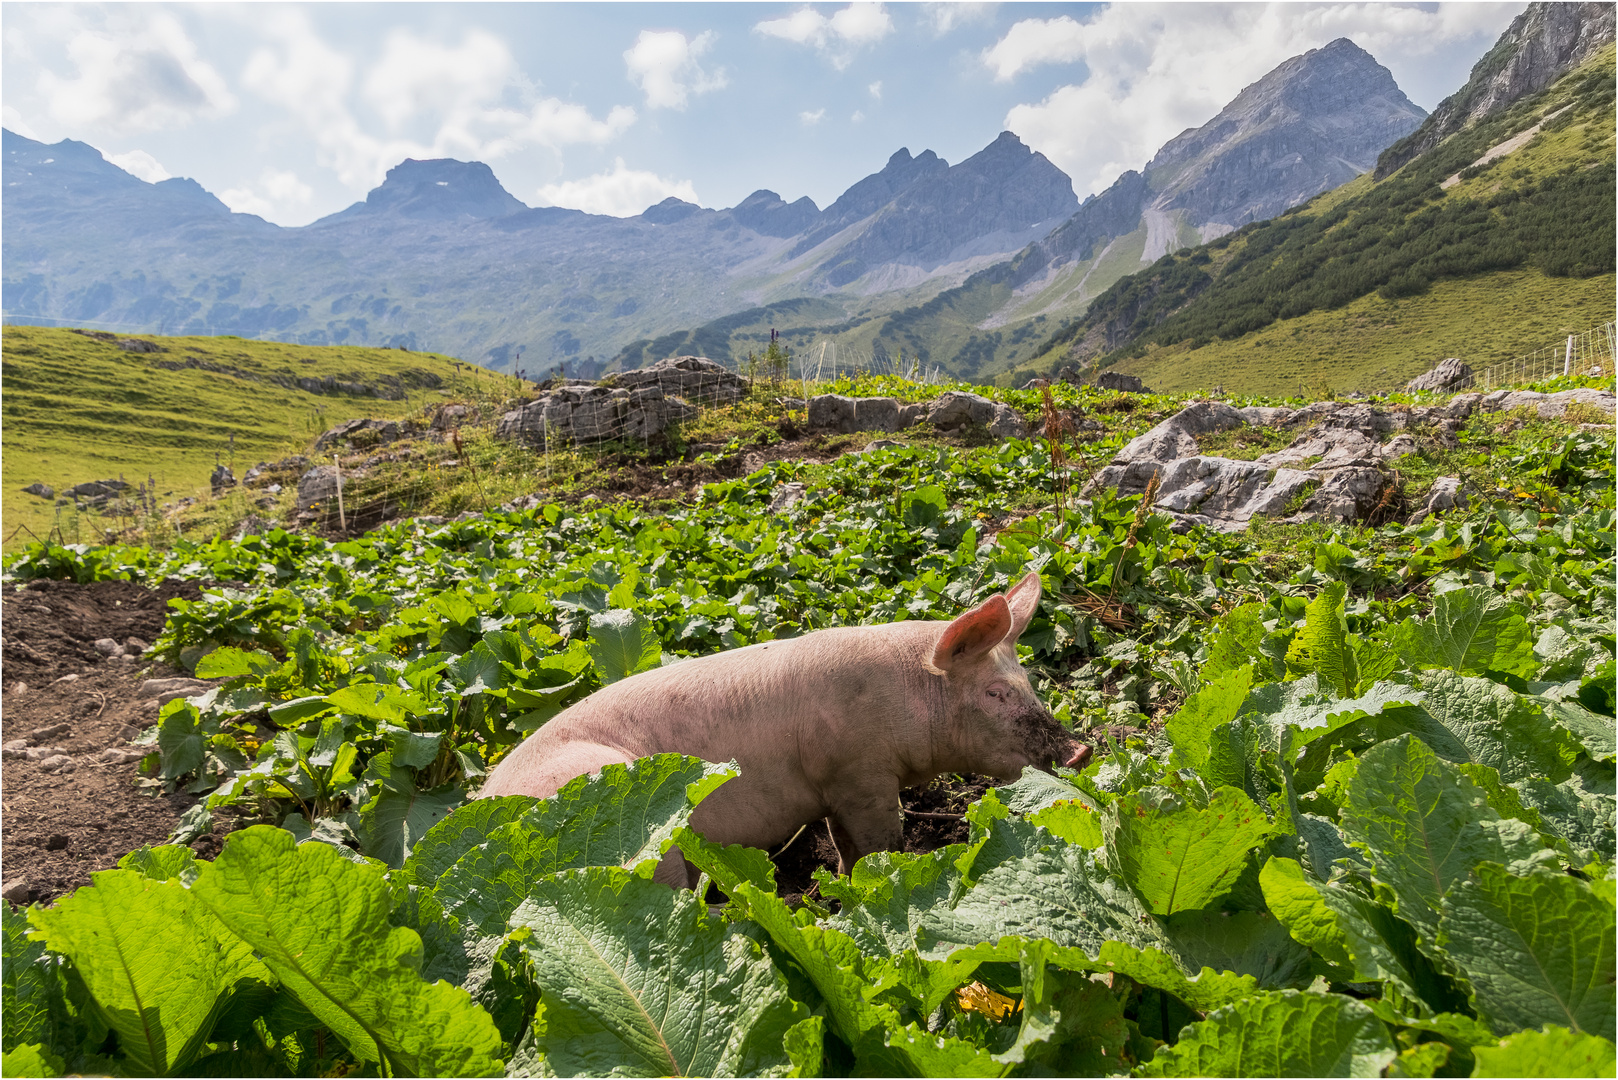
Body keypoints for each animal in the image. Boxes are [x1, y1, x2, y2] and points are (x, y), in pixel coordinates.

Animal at [478, 573, 1087, 887]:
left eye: (1028, 680)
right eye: (995, 693)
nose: (1080, 751)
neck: (910, 690)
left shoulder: (835, 787)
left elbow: (845, 845)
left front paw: (842, 884)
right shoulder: (859, 773)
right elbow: (878, 842)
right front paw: (878, 879)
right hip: (634, 838)